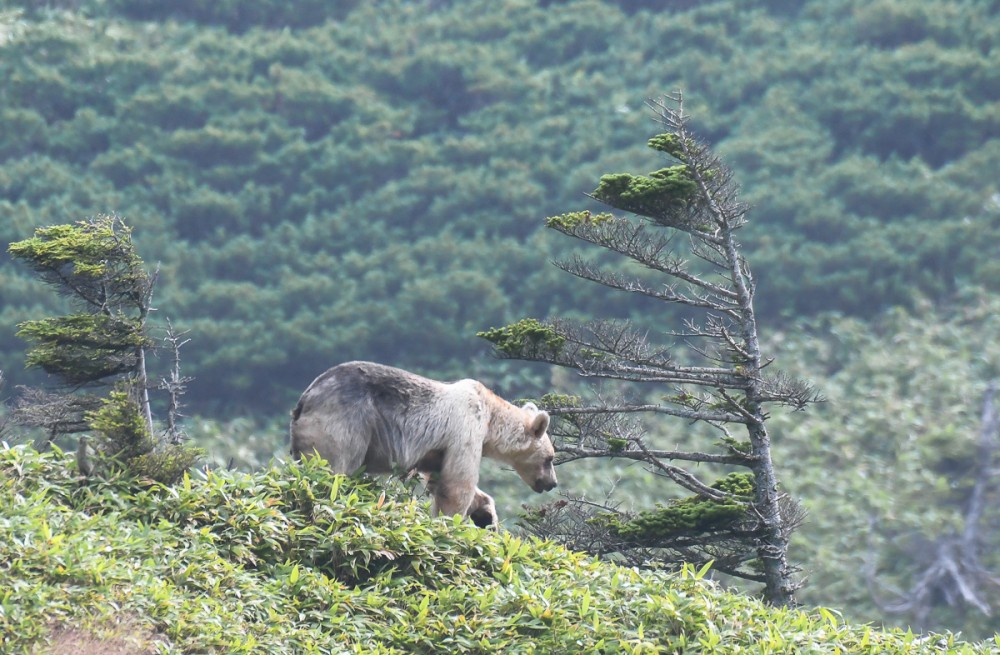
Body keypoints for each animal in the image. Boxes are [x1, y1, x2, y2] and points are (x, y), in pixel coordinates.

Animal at [290, 362, 560, 524]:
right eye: (550, 458)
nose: (552, 483)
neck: (491, 420)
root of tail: (305, 399)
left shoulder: (438, 451)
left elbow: (441, 480)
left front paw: (485, 514)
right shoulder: (465, 428)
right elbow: (458, 484)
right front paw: (452, 521)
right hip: (346, 423)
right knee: (333, 466)